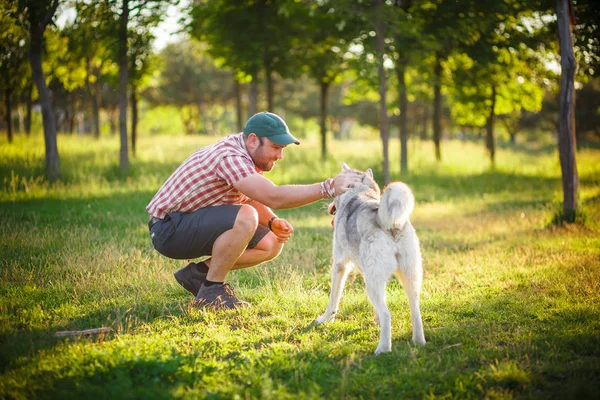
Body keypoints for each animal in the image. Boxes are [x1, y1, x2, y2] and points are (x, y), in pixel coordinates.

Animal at [316, 162, 424, 354]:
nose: (331, 207)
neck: (360, 192)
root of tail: (388, 223)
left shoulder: (340, 266)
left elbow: (333, 299)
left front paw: (325, 319)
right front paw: (376, 321)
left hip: (372, 284)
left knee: (388, 314)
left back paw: (383, 349)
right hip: (408, 278)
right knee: (414, 310)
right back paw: (419, 342)